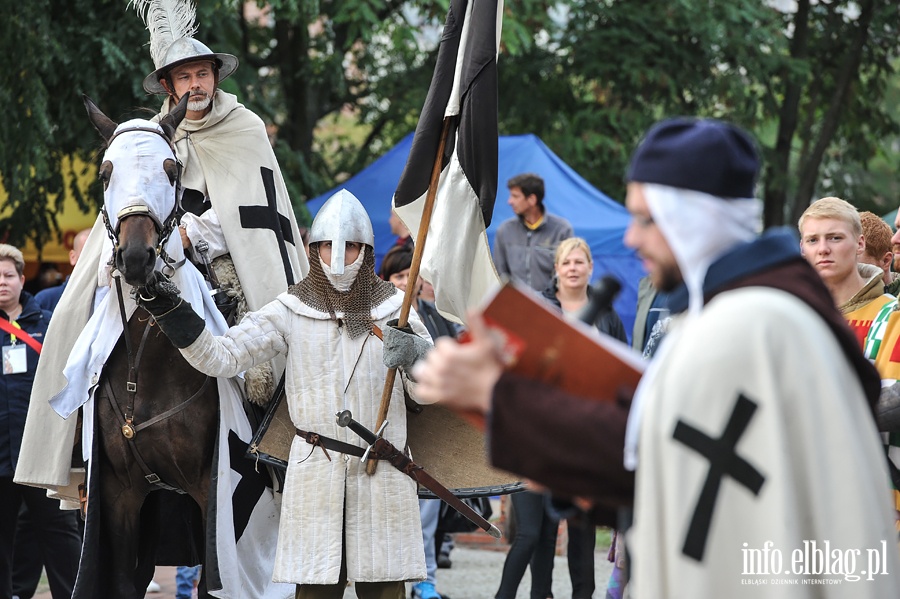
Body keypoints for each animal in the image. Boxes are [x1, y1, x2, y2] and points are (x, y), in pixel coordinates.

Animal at [82, 95, 220, 599]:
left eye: (170, 169)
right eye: (105, 172)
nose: (137, 258)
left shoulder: (207, 489)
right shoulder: (120, 496)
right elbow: (123, 582)